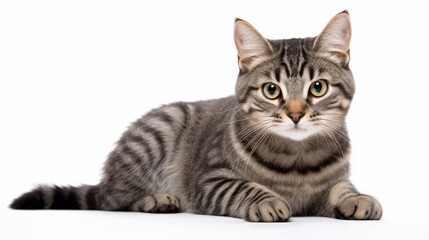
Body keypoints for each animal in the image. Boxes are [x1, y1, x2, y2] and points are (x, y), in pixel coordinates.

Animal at [11, 10, 382, 221]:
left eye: (317, 88)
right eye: (271, 90)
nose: (295, 114)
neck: (298, 161)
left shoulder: (330, 184)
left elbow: (342, 187)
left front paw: (358, 198)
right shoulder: (210, 181)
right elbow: (244, 188)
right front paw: (266, 200)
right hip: (161, 129)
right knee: (113, 199)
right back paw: (155, 199)